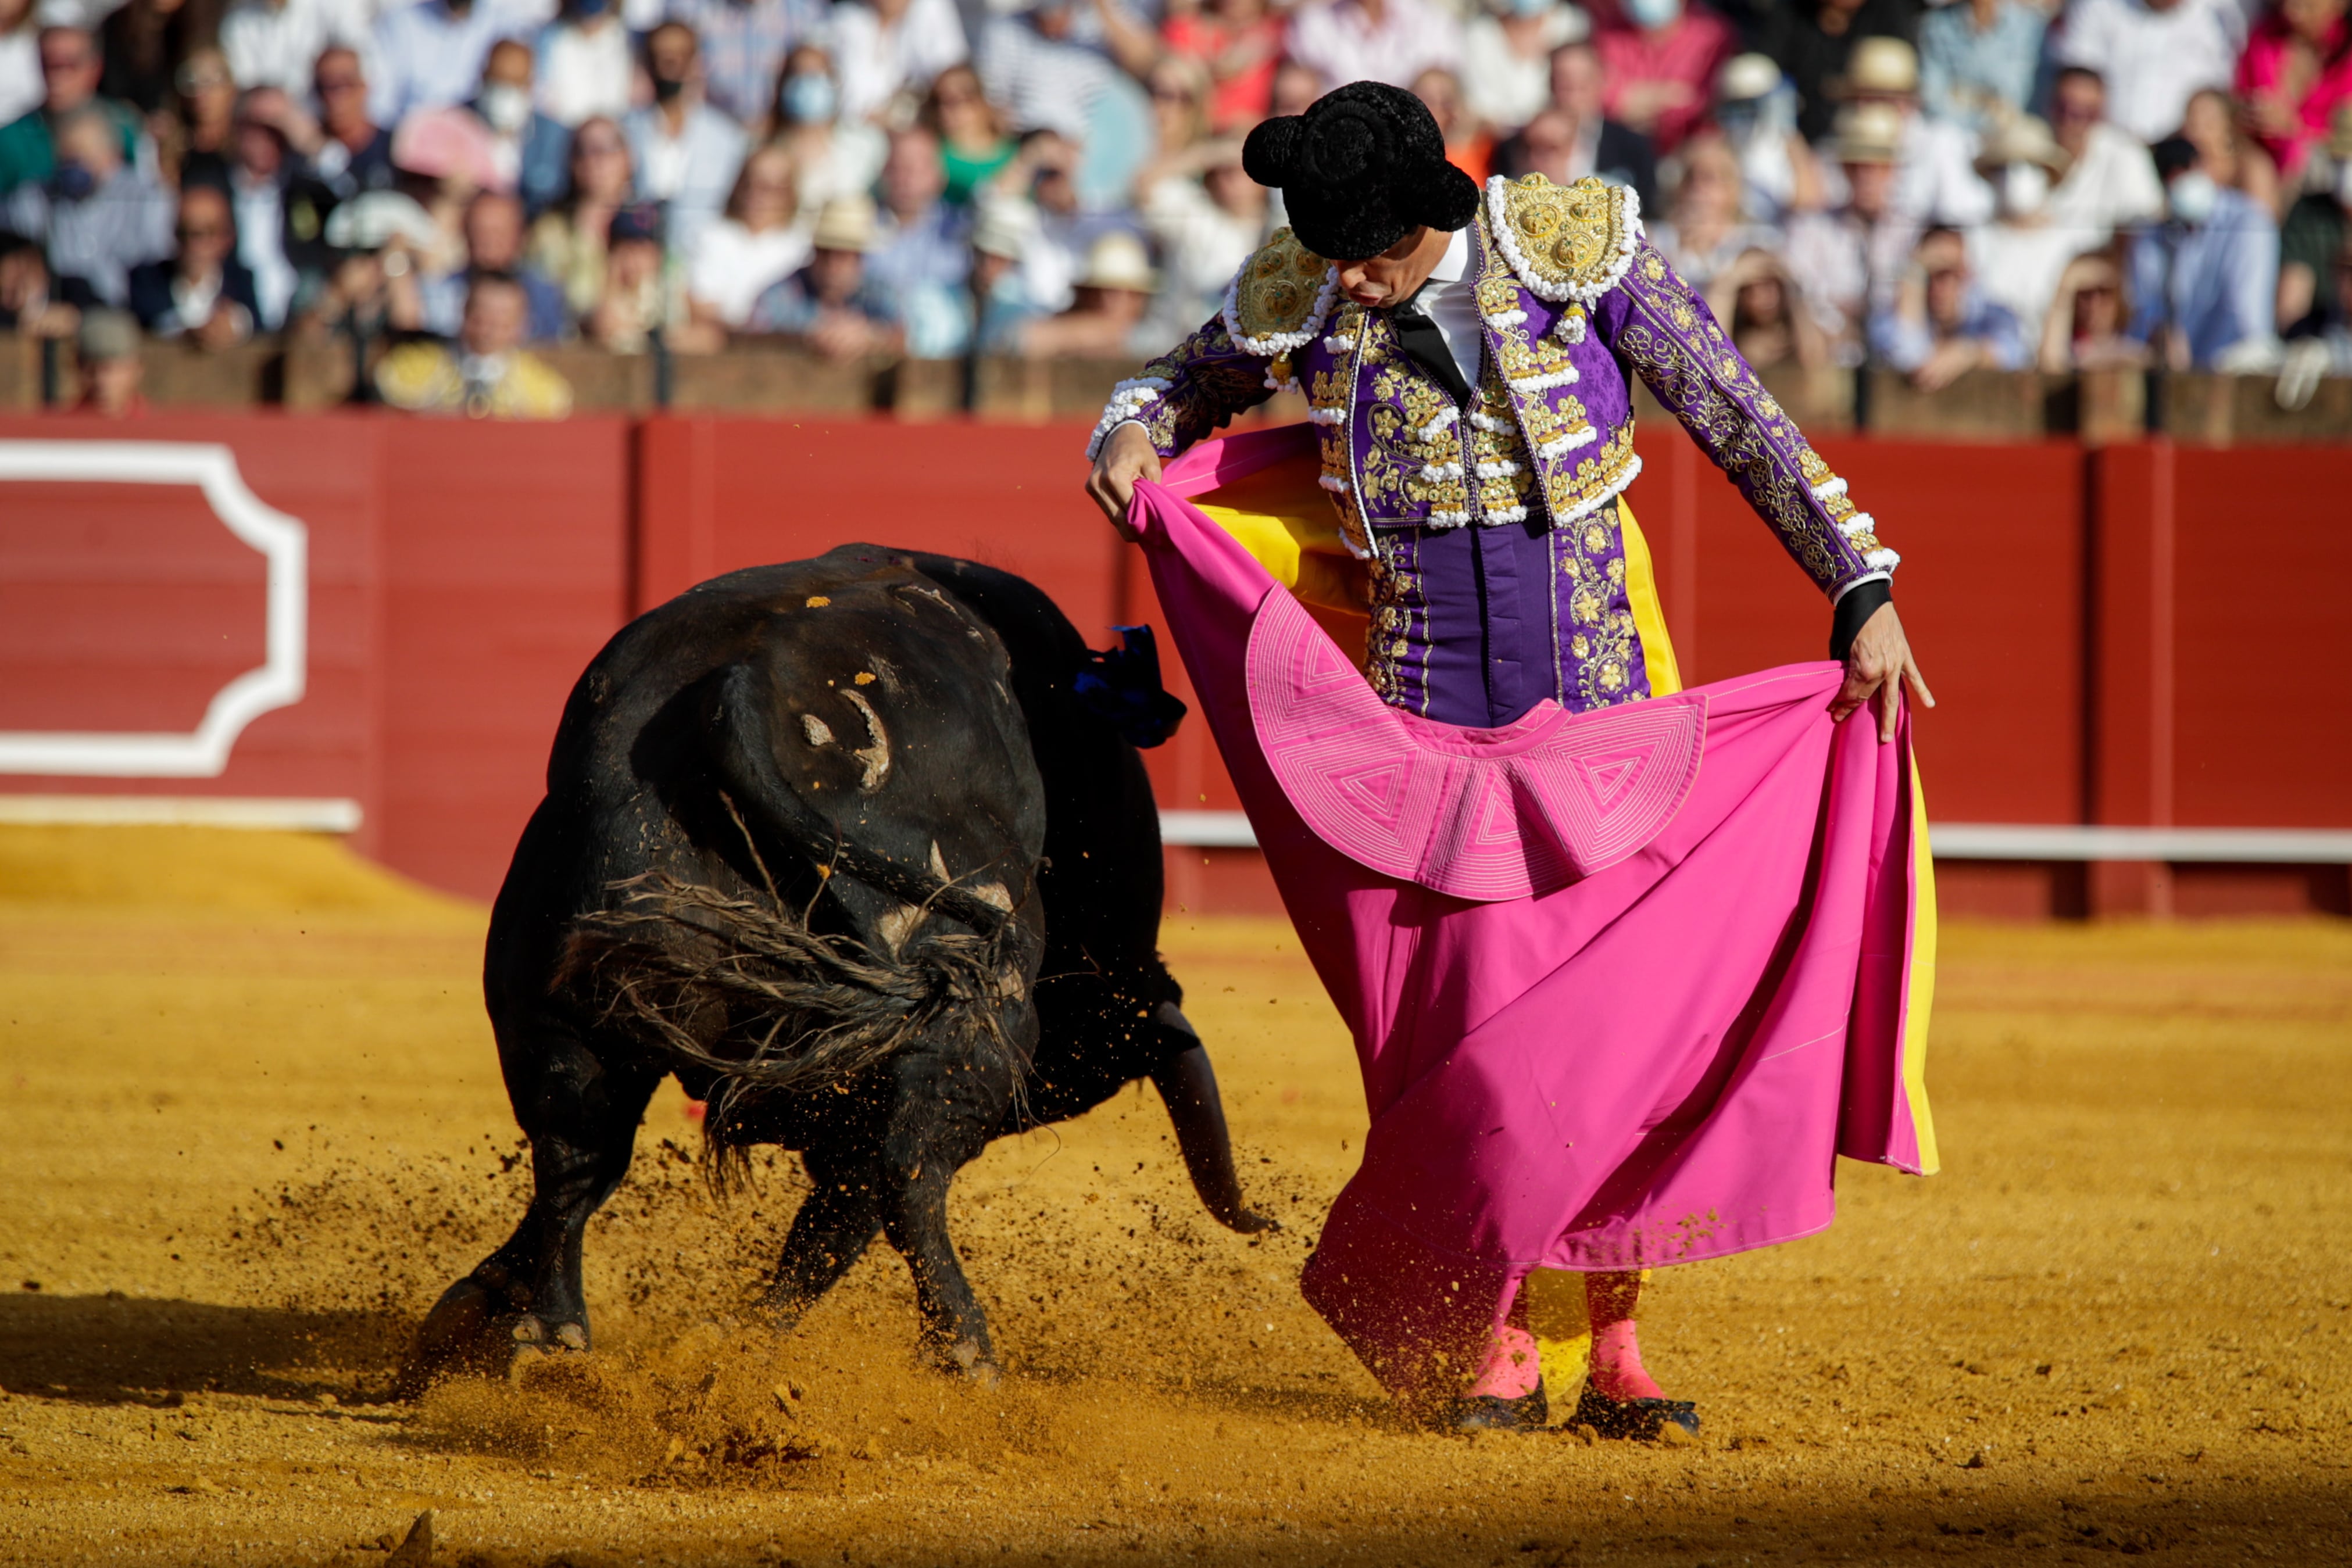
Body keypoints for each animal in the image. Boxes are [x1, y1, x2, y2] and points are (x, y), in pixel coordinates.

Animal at [412, 545, 1279, 1391]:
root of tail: (737, 689)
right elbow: (843, 1217)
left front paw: (463, 1316)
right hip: (950, 1029)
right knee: (903, 1177)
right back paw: (965, 1355)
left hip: (558, 998)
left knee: (571, 1149)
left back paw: (551, 1337)